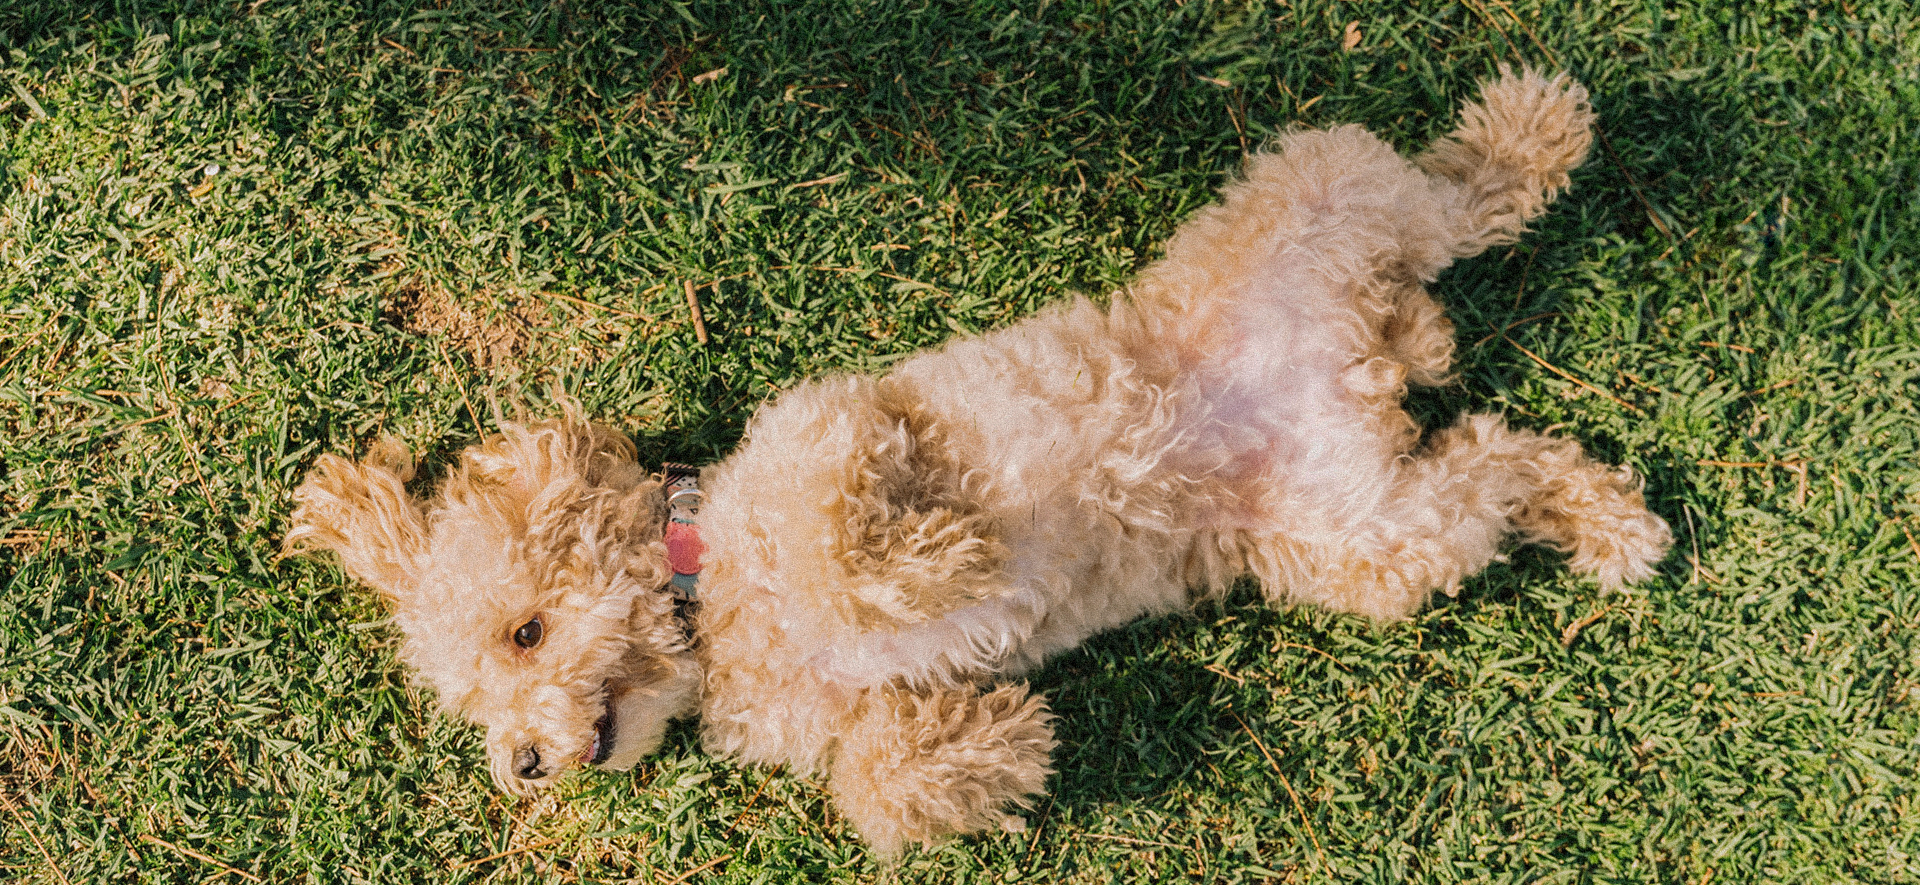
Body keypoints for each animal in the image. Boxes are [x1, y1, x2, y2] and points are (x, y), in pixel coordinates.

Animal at [284, 69, 1666, 856]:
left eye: (523, 631)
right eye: (475, 702)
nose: (521, 766)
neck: (711, 605)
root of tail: (1368, 355)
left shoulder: (834, 426)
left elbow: (847, 552)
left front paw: (939, 564)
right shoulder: (839, 716)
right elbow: (878, 791)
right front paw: (995, 744)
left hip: (1332, 198)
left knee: (1465, 200)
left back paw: (1533, 127)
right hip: (1367, 535)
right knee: (1501, 461)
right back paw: (1609, 521)